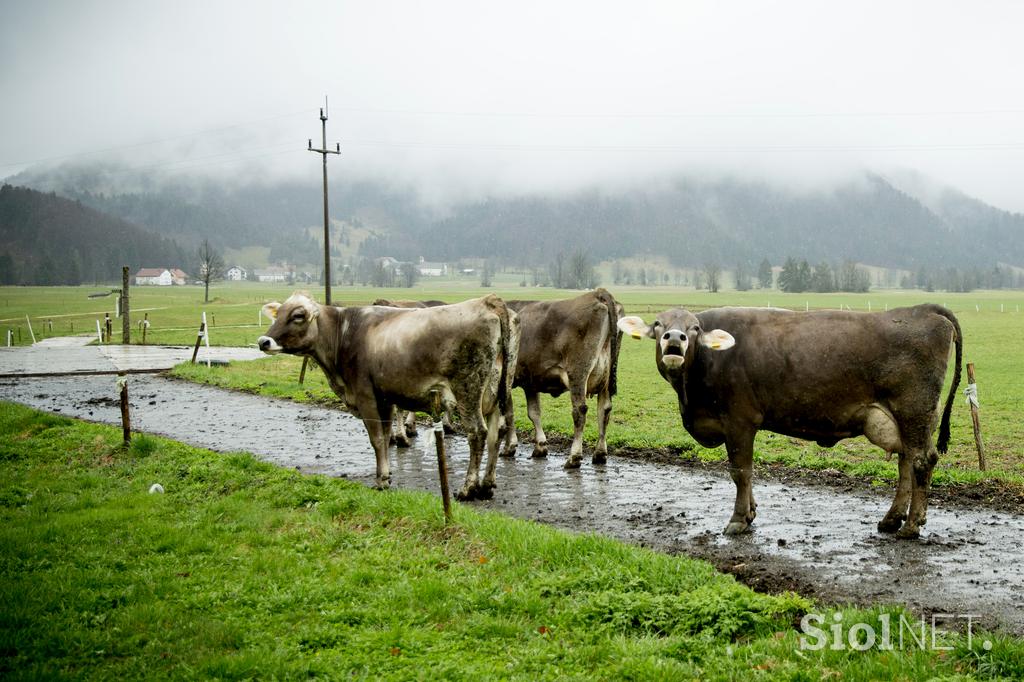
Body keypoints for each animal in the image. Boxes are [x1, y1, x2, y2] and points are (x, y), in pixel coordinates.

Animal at [497, 286, 618, 466]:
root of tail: (596, 293)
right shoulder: (530, 381)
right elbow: (534, 413)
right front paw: (540, 447)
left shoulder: (506, 380)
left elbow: (508, 413)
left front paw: (509, 447)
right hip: (605, 378)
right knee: (604, 410)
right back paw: (600, 454)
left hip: (578, 373)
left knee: (580, 411)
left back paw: (574, 457)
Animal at [618, 303, 962, 536]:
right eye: (658, 323)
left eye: (694, 328)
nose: (673, 339)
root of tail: (920, 310)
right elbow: (747, 473)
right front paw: (751, 512)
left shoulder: (739, 421)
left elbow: (740, 471)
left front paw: (739, 519)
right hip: (906, 420)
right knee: (906, 463)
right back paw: (892, 519)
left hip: (914, 411)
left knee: (921, 462)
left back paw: (912, 525)